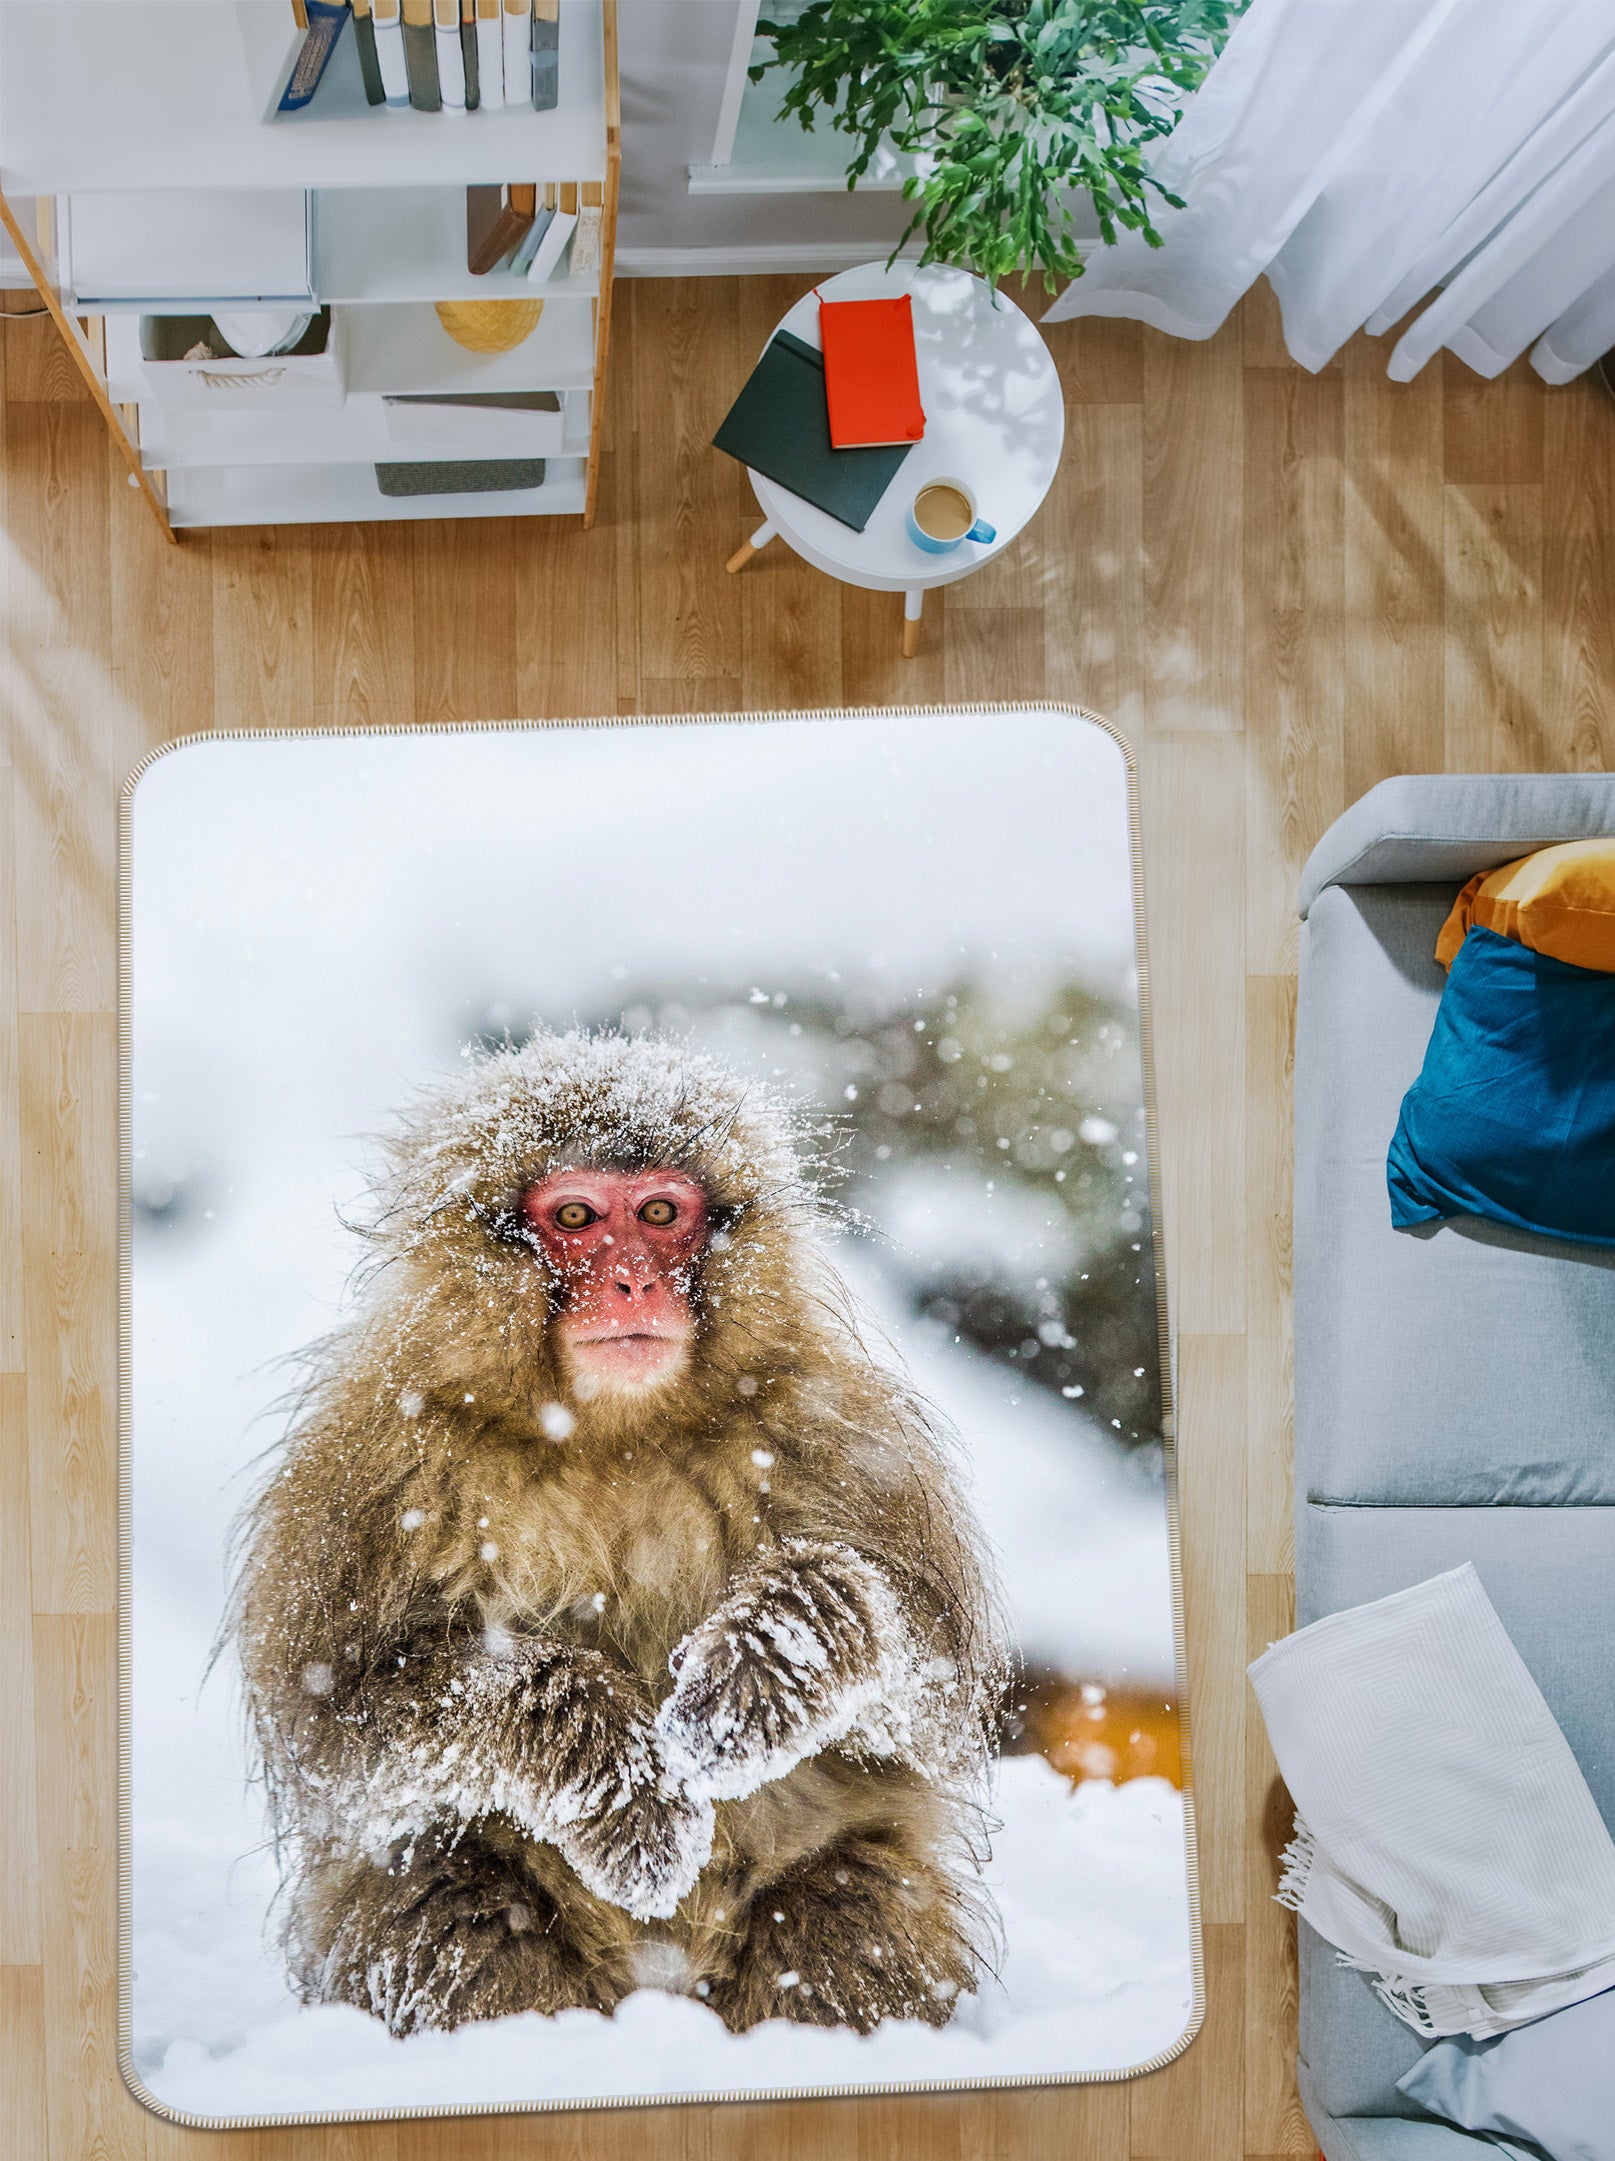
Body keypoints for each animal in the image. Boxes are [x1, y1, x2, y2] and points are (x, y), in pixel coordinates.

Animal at [232, 1030, 1011, 2041]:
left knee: (848, 1900)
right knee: (441, 1893)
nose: (633, 1280)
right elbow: (346, 1713)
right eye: (574, 1214)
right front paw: (614, 1772)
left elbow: (925, 1688)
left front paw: (771, 1654)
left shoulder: (839, 1427)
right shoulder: (370, 1466)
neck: (613, 1436)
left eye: (657, 1212)